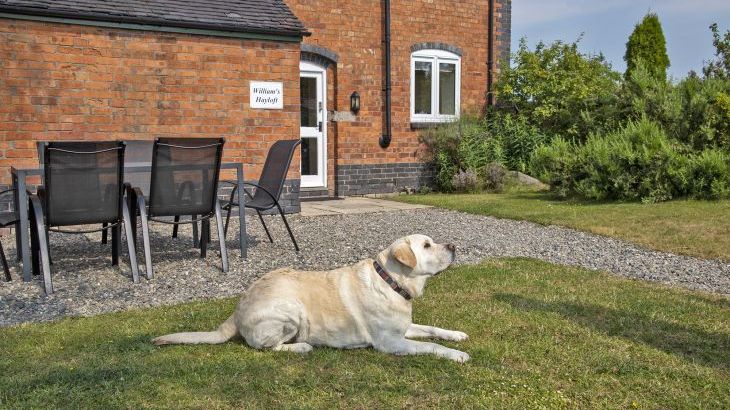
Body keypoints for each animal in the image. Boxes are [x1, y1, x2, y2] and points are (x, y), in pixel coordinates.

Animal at [154, 234, 472, 362]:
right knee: (265, 347)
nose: (454, 246)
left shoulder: (403, 328)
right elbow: (430, 346)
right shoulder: (390, 342)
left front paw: (456, 335)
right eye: (427, 245)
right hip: (291, 311)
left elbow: (432, 329)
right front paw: (456, 354)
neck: (391, 281)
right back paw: (302, 347)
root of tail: (237, 308)